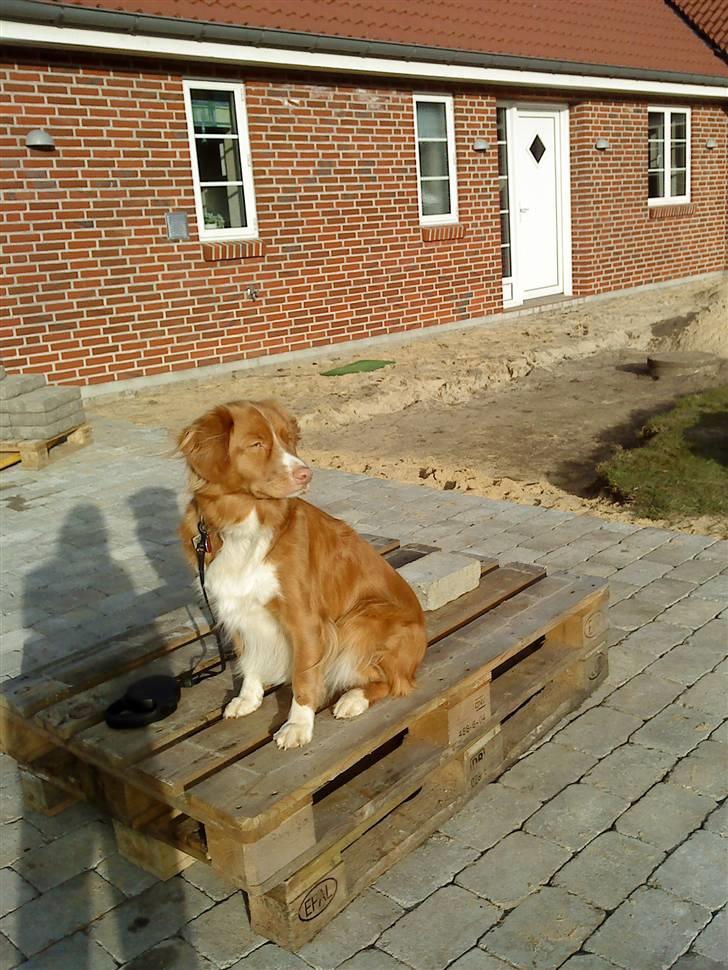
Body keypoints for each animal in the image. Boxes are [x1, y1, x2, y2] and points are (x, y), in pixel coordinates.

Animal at [178, 398, 426, 744]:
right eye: (256, 444)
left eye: (287, 439)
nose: (306, 474)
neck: (246, 523)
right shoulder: (235, 606)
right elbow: (249, 657)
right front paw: (248, 698)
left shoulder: (305, 619)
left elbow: (304, 676)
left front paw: (297, 724)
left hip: (362, 619)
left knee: (396, 682)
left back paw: (353, 699)